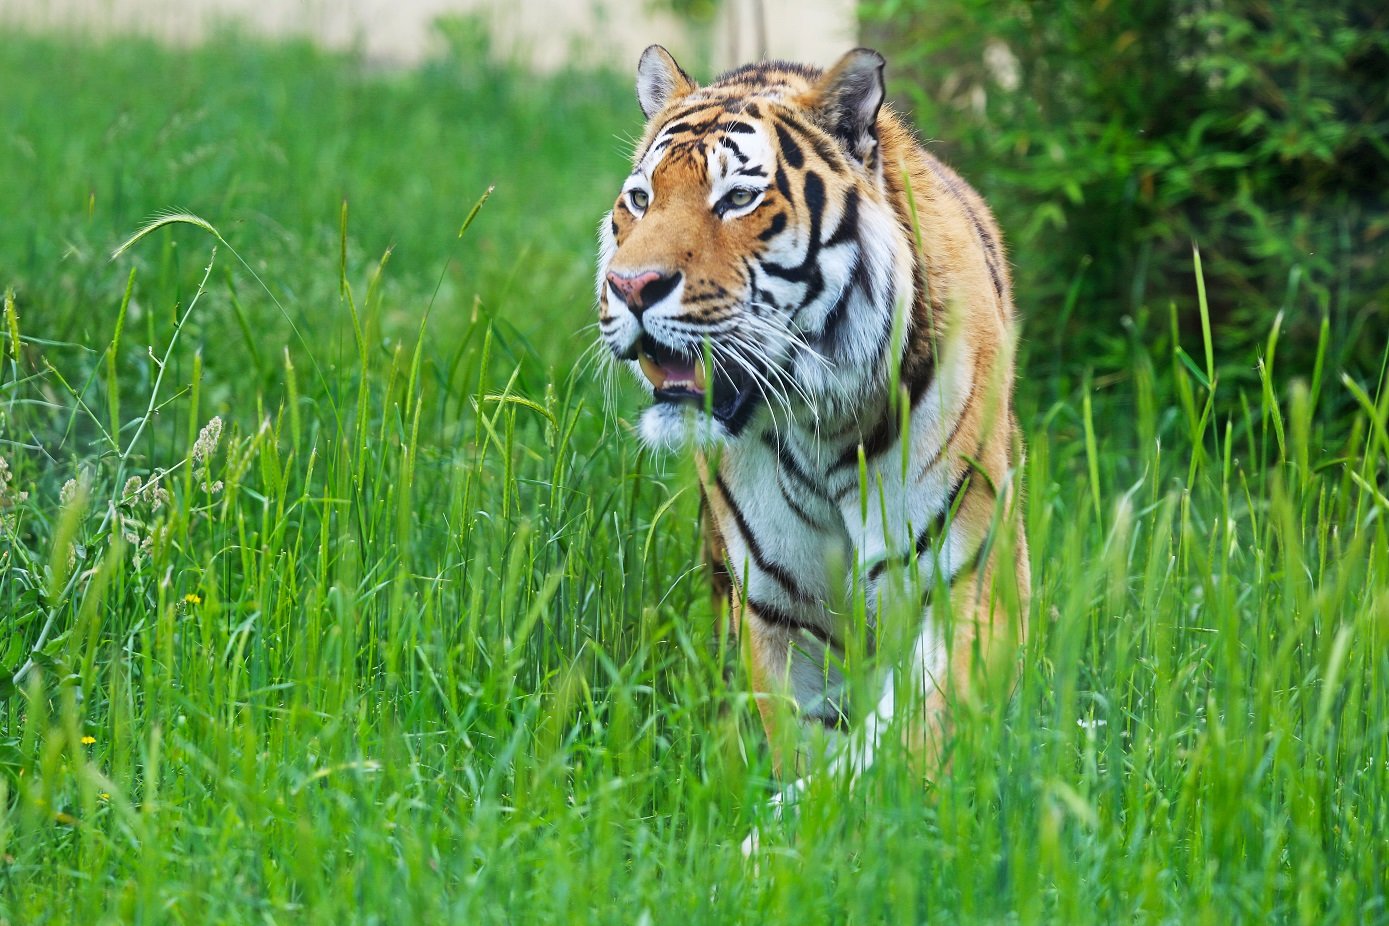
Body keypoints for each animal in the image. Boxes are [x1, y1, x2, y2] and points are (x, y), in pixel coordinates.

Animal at [594, 47, 1033, 849]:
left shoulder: (964, 591)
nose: (630, 285)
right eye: (640, 199)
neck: (820, 426)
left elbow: (903, 744)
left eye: (737, 198)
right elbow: (808, 741)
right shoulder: (780, 614)